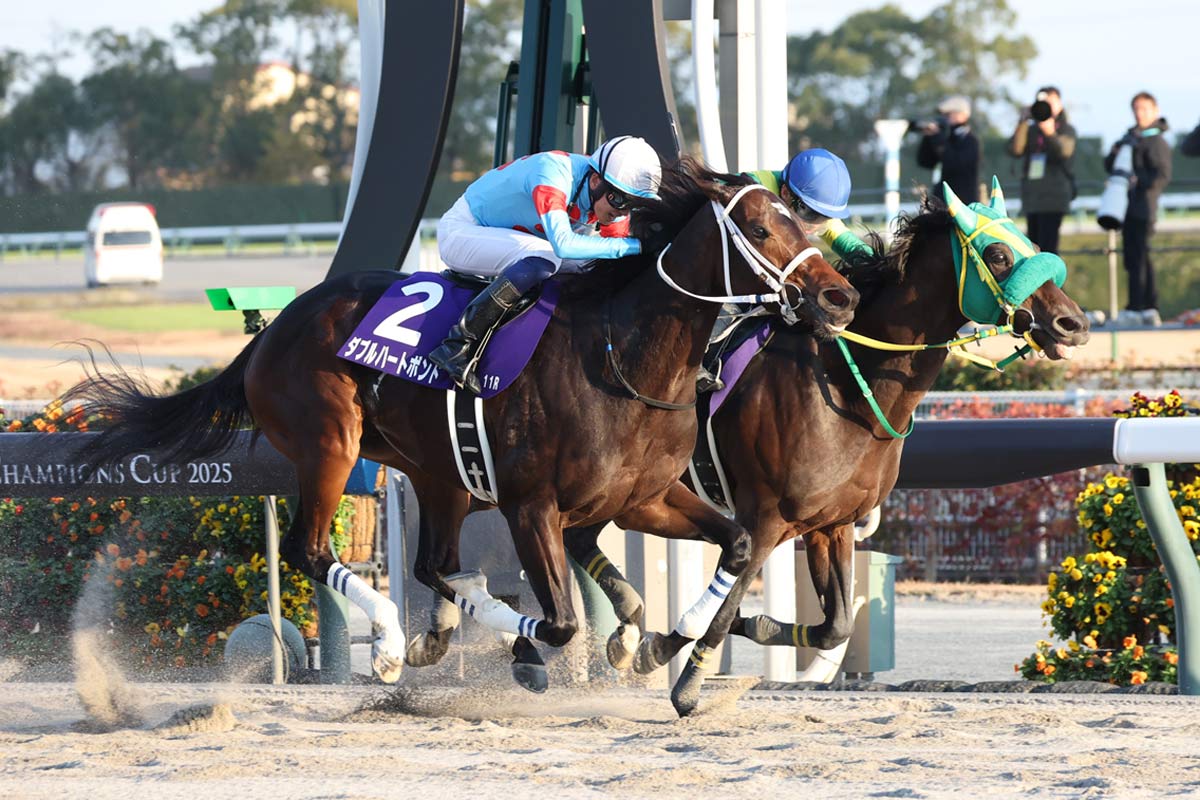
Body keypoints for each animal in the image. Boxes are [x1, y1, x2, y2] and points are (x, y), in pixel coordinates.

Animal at [66, 157, 859, 706]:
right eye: (760, 228)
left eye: (806, 224)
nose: (839, 296)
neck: (623, 359)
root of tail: (274, 329)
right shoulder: (532, 505)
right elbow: (561, 620)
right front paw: (542, 651)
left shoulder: (645, 497)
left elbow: (736, 545)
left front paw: (655, 643)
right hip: (331, 444)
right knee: (313, 549)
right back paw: (390, 642)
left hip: (434, 471)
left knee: (431, 561)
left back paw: (436, 627)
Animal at [563, 180, 1091, 713]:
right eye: (999, 255)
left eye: (1028, 242)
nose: (1073, 323)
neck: (848, 392)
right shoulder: (764, 518)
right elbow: (729, 600)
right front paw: (684, 675)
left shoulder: (830, 524)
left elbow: (834, 626)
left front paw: (742, 626)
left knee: (579, 538)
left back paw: (625, 634)